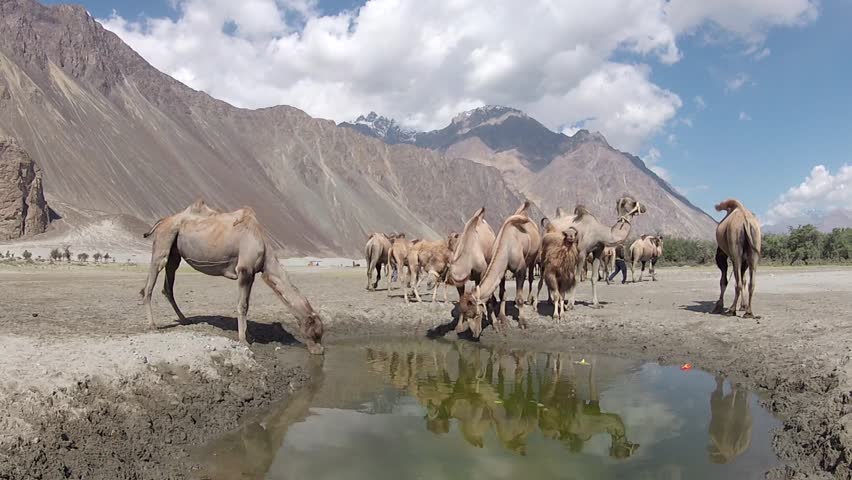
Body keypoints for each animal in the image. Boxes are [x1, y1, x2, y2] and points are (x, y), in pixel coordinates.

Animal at [141, 199, 324, 352]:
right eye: (316, 333)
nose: (320, 351)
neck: (264, 248)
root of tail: (163, 221)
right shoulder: (244, 270)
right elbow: (242, 305)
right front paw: (243, 340)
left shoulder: (252, 273)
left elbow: (246, 304)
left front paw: (249, 335)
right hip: (163, 242)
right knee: (150, 285)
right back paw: (152, 324)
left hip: (175, 253)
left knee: (167, 286)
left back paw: (185, 320)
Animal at [460, 202, 540, 338]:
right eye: (465, 314)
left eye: (476, 314)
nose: (475, 334)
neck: (506, 247)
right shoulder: (502, 272)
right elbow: (502, 293)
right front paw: (502, 319)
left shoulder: (520, 269)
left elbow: (519, 298)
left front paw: (523, 323)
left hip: (533, 258)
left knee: (530, 277)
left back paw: (530, 300)